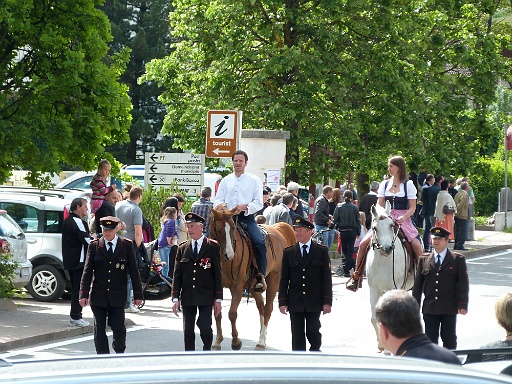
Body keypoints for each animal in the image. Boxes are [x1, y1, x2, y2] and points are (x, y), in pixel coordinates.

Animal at [209, 207, 296, 352]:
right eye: (218, 229)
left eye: (233, 228)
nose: (230, 255)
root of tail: (277, 230)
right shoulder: (217, 288)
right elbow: (217, 313)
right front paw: (217, 342)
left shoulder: (237, 287)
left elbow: (232, 313)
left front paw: (236, 341)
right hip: (254, 286)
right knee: (261, 306)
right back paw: (262, 336)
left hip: (274, 279)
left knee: (267, 309)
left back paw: (261, 342)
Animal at [368, 202, 416, 350]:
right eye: (375, 227)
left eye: (391, 225)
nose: (387, 248)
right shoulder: (374, 289)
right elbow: (374, 318)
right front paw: (380, 343)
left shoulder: (392, 288)